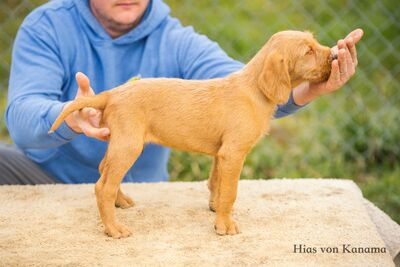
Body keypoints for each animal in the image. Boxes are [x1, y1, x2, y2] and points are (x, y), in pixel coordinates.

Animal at [49, 30, 332, 240]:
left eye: (315, 43)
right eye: (308, 51)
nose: (333, 55)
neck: (254, 89)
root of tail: (112, 93)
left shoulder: (221, 153)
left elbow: (216, 183)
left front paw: (216, 210)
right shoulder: (233, 153)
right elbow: (230, 191)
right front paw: (225, 225)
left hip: (120, 143)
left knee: (103, 170)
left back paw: (121, 201)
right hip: (129, 145)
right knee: (103, 186)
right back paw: (113, 228)